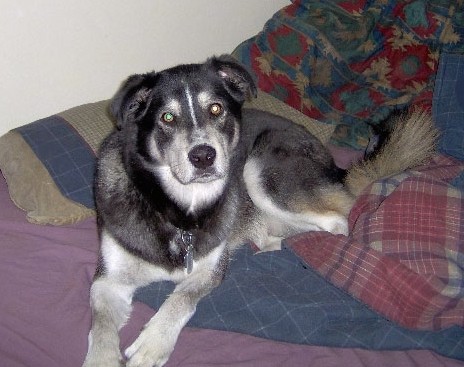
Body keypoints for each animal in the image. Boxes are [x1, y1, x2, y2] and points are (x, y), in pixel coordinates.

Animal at [84, 54, 438, 367]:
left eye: (216, 108)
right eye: (167, 118)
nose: (203, 156)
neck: (178, 208)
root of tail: (331, 163)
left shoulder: (209, 269)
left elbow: (181, 298)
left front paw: (153, 343)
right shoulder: (108, 280)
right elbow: (100, 328)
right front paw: (101, 358)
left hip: (259, 169)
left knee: (339, 220)